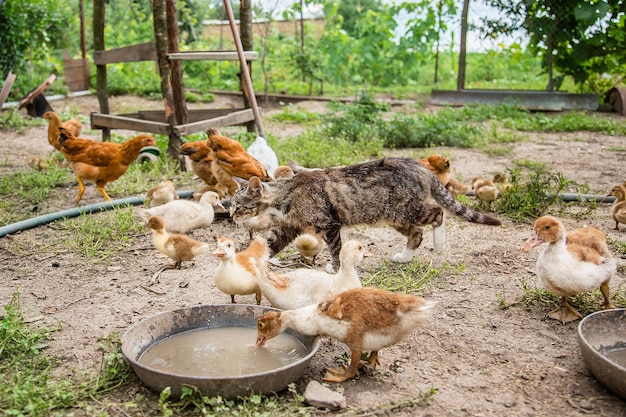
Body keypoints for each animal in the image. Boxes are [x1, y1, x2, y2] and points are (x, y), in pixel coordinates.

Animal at [229, 156, 498, 266]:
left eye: (239, 206)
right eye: (230, 205)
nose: (231, 216)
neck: (284, 196)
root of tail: (419, 166)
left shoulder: (330, 224)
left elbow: (335, 250)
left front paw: (334, 268)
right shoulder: (288, 227)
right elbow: (270, 243)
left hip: (406, 210)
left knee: (438, 213)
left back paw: (439, 244)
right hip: (396, 217)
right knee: (416, 234)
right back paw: (404, 257)